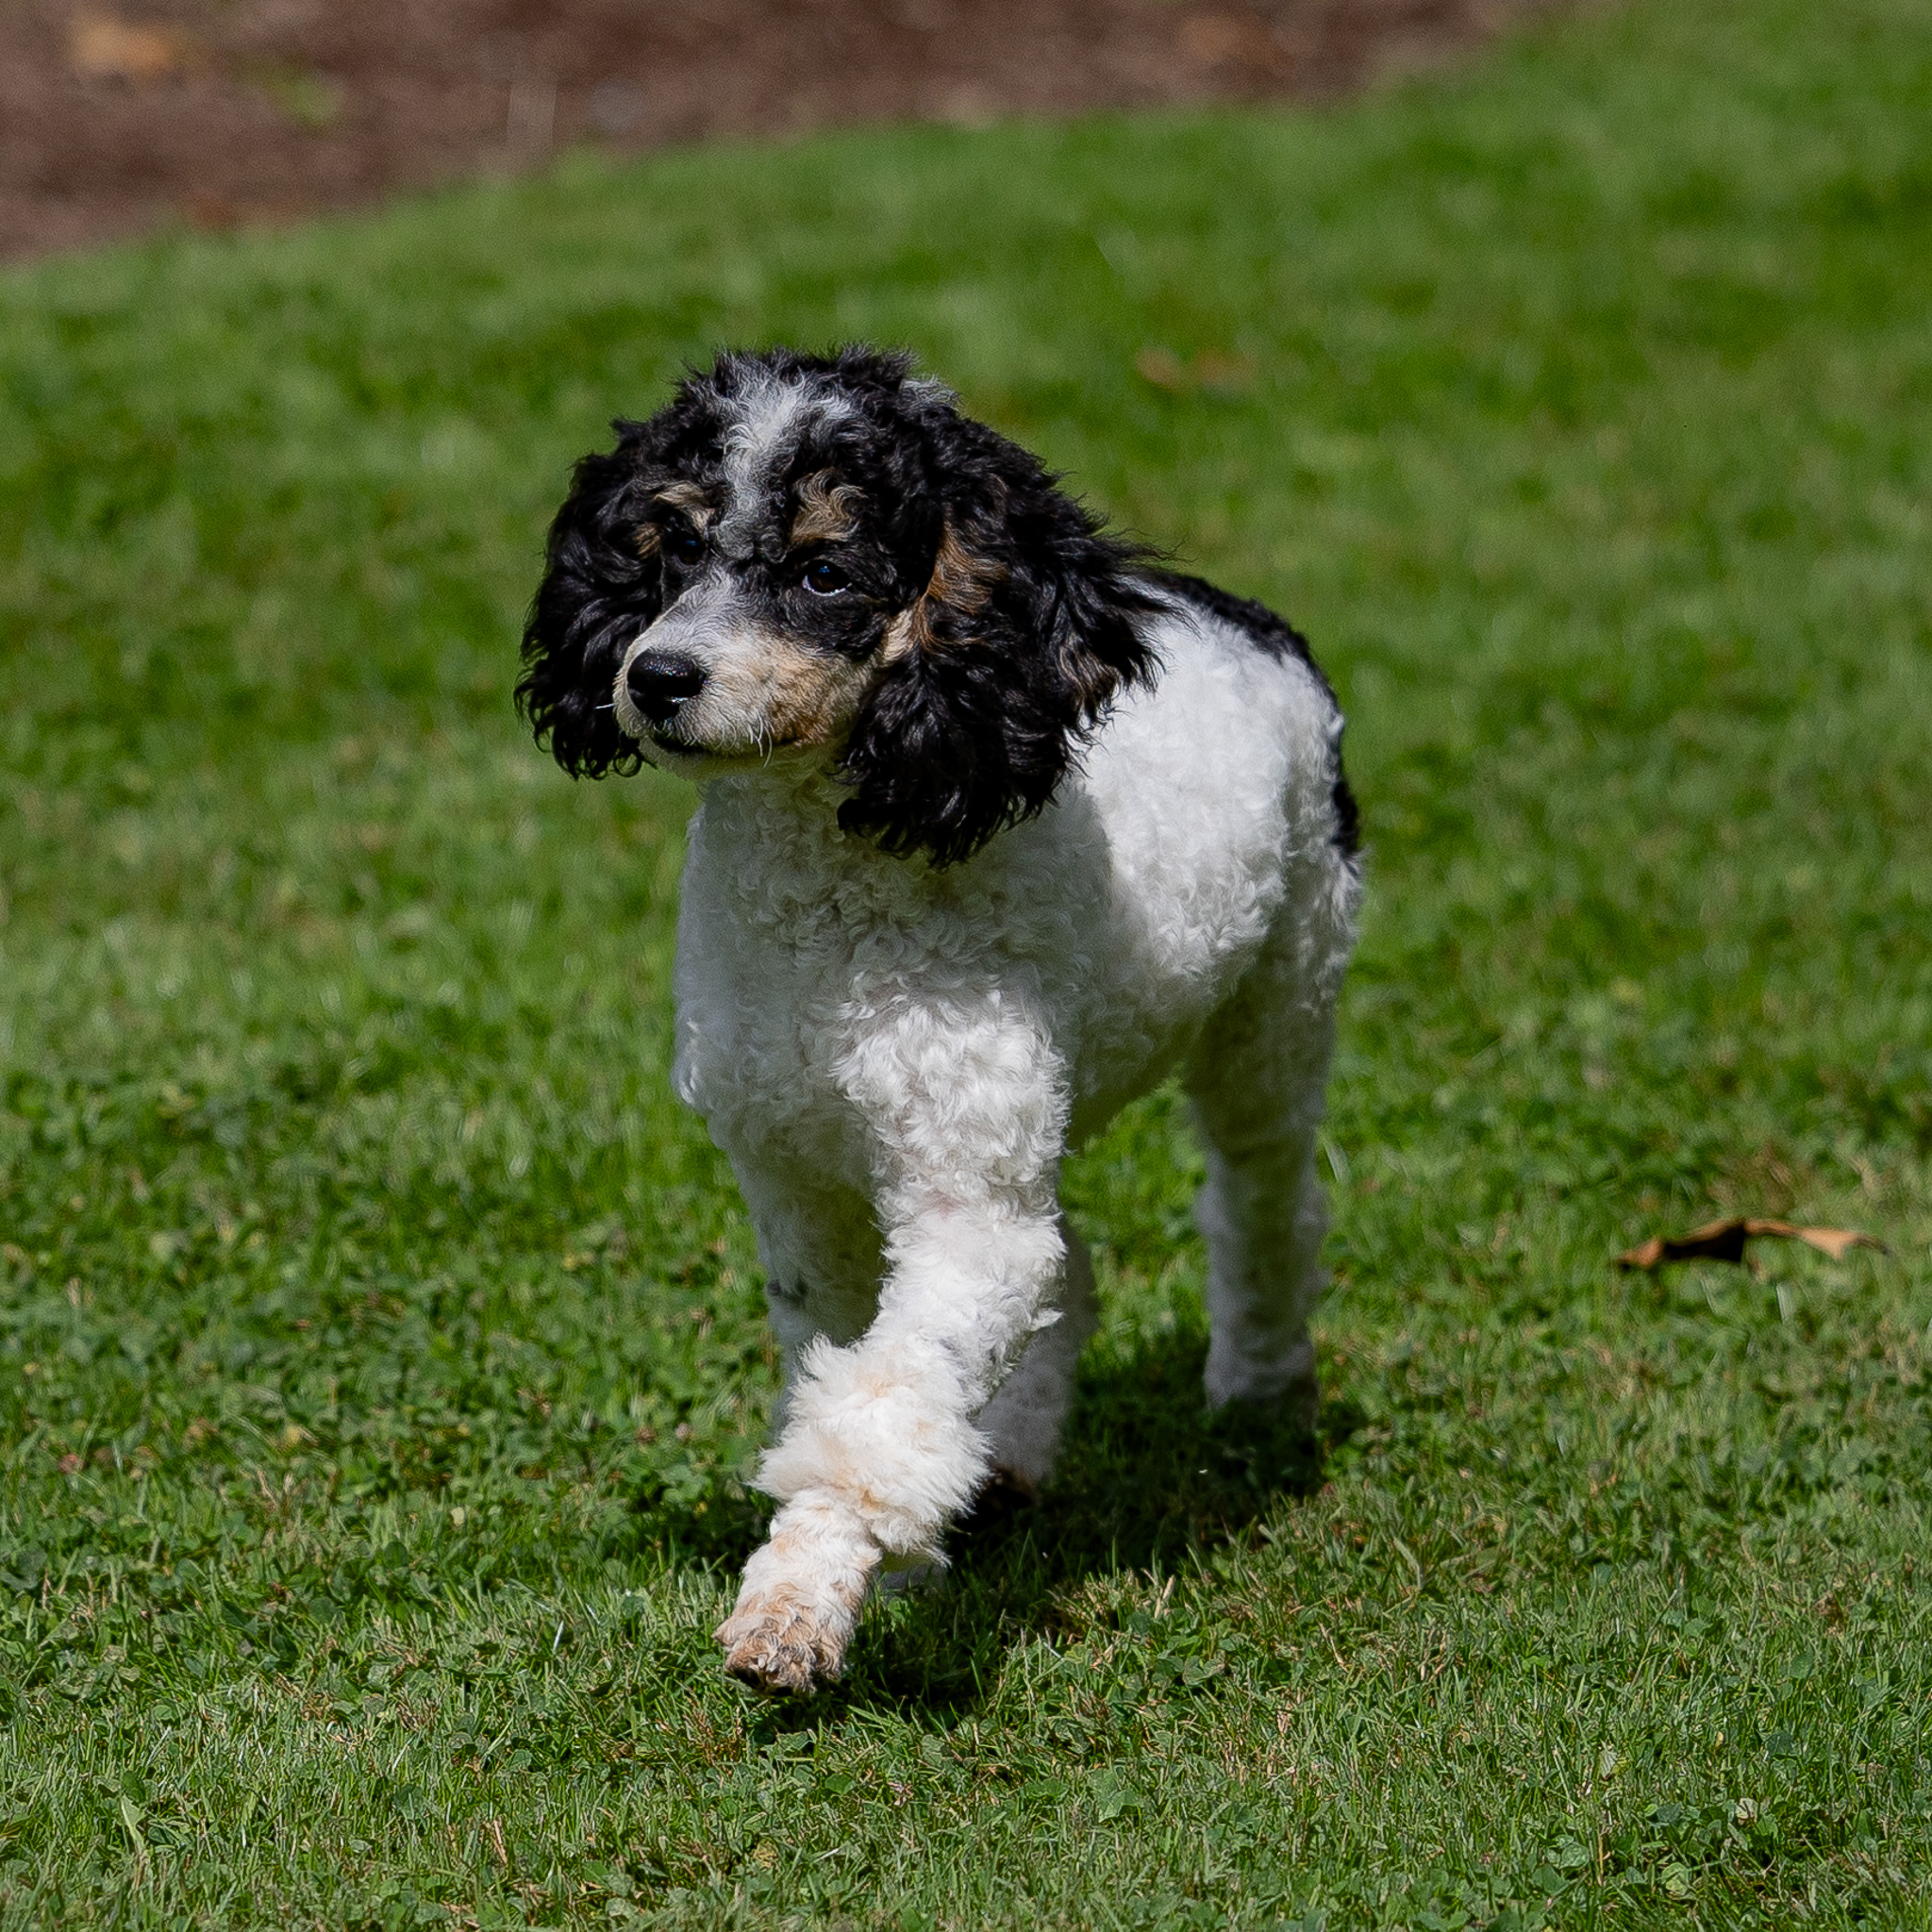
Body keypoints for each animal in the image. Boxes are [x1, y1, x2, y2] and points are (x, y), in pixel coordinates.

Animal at [513, 347, 1359, 1692]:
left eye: (823, 571)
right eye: (672, 546)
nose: (653, 677)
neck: (835, 904)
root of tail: (1245, 619)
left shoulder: (959, 1197)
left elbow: (884, 1399)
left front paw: (799, 1607)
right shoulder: (805, 1178)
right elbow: (852, 1369)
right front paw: (873, 1562)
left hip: (1277, 1010)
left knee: (1263, 1197)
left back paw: (1259, 1385)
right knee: (1069, 1264)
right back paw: (1007, 1457)